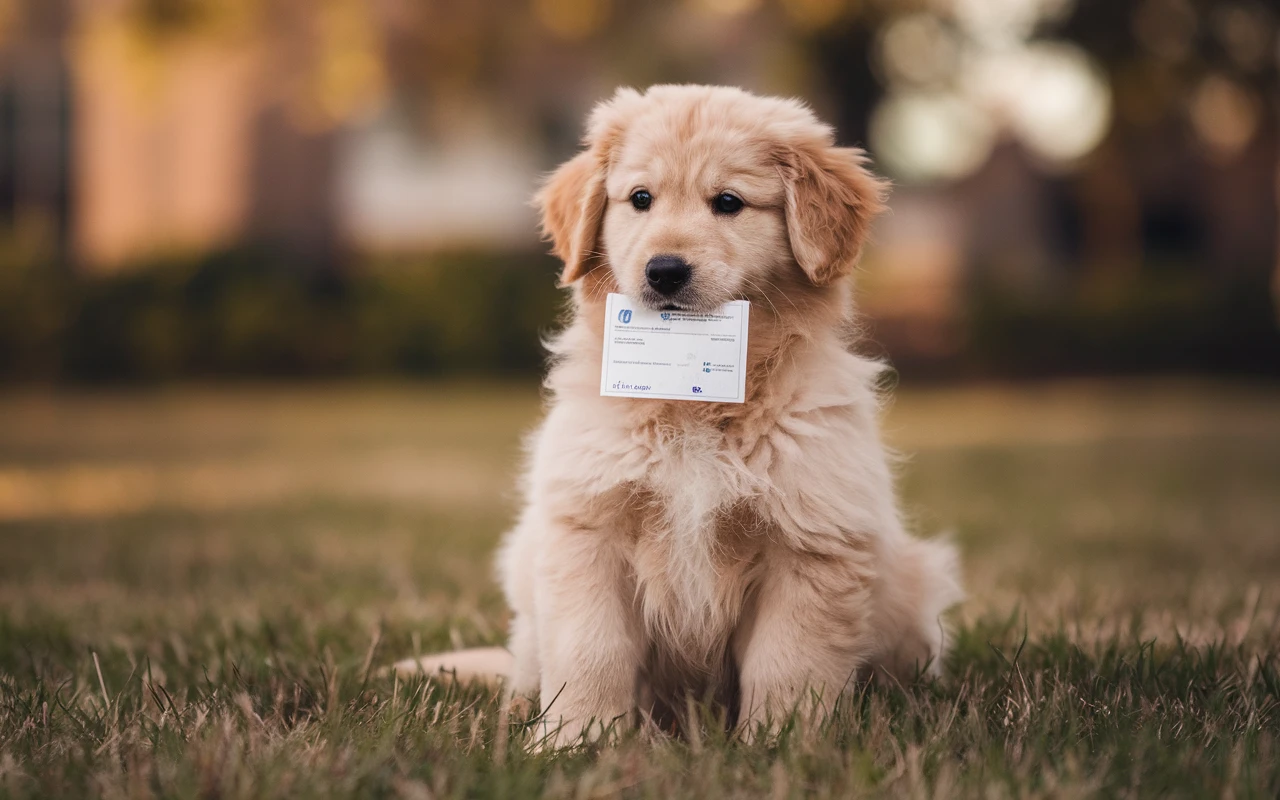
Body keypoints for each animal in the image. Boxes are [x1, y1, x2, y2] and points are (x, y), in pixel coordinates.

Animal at [394, 85, 962, 742]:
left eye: (728, 203)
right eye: (641, 199)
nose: (663, 271)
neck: (696, 406)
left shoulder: (812, 546)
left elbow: (788, 667)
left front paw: (780, 746)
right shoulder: (586, 531)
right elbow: (590, 653)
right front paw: (573, 741)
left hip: (910, 589)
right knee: (528, 660)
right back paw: (518, 710)